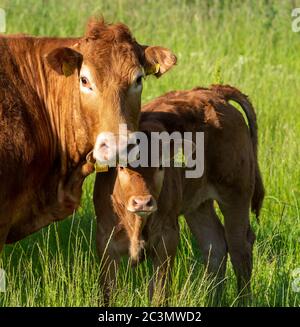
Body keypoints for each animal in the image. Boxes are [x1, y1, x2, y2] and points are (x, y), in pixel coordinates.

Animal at [94, 84, 264, 304]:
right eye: (122, 167)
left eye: (160, 166)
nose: (143, 202)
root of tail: (214, 93)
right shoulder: (105, 243)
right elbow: (108, 293)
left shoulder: (167, 238)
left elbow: (158, 291)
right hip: (198, 206)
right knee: (215, 245)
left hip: (236, 197)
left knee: (239, 248)